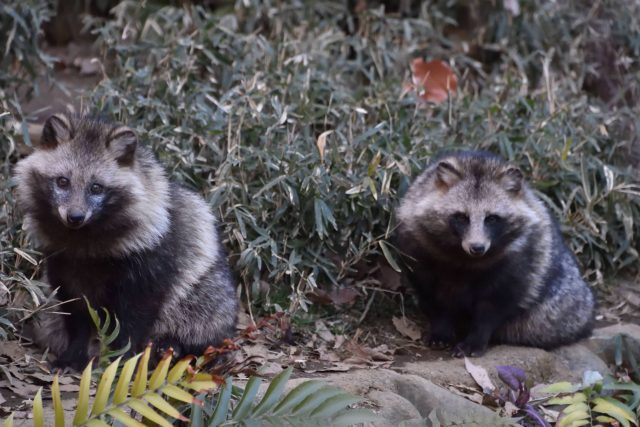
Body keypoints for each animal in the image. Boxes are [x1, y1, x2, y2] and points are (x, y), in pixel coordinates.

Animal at [15, 114, 240, 372]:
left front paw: (121, 358)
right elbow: (76, 309)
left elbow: (135, 315)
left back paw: (173, 346)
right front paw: (74, 352)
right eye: (62, 181)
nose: (75, 217)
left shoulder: (151, 259)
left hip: (209, 297)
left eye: (96, 187)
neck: (84, 235)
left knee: (196, 314)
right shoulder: (64, 262)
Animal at [396, 150, 596, 358]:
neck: (464, 257)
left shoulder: (521, 259)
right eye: (461, 217)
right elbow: (433, 296)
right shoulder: (418, 247)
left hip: (562, 305)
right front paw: (441, 328)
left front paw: (475, 339)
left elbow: (493, 307)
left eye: (491, 219)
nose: (477, 247)